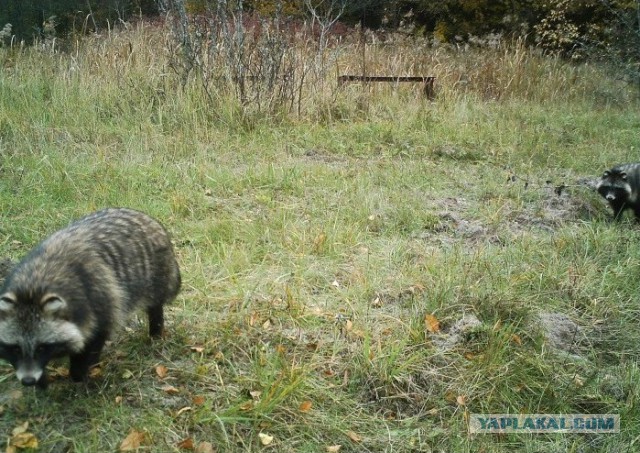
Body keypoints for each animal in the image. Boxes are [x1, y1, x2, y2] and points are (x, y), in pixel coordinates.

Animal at [0, 207, 180, 386]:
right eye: (15, 348)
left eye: (41, 347)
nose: (28, 381)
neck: (33, 285)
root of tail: (143, 216)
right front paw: (42, 380)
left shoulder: (99, 300)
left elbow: (95, 338)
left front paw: (81, 372)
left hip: (157, 274)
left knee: (155, 304)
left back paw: (156, 329)